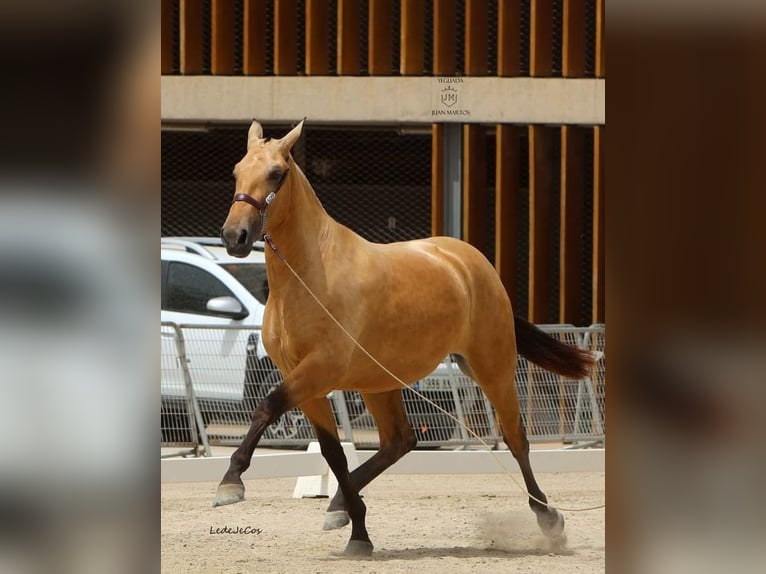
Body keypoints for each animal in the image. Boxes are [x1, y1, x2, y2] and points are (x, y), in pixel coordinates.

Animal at [216, 120, 600, 560]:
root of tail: (473, 262)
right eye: (236, 171)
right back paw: (340, 508)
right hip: (380, 383)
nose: (234, 236)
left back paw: (549, 519)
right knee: (399, 441)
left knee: (515, 438)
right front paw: (359, 534)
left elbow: (266, 407)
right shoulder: (304, 379)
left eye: (276, 173)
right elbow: (332, 454)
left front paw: (230, 483)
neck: (310, 274)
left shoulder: (318, 370)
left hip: (492, 366)